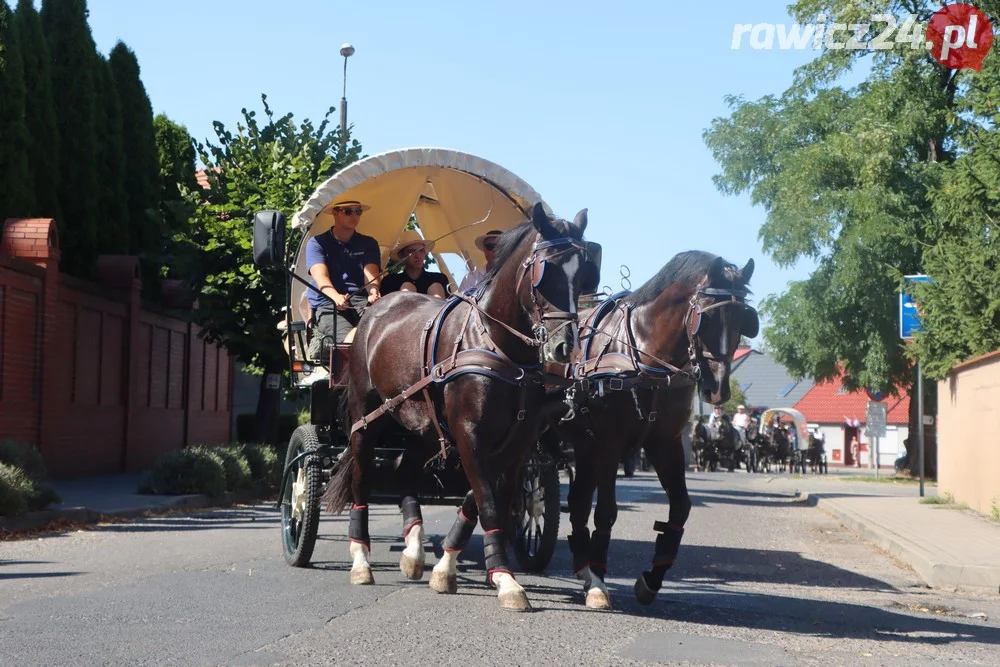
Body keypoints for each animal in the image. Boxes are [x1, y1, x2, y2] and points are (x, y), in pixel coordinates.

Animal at [324, 204, 592, 612]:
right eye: (544, 272)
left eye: (584, 271)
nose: (565, 348)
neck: (496, 344)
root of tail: (378, 305)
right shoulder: (469, 434)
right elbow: (489, 501)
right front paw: (506, 580)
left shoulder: (517, 441)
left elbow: (488, 498)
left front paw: (449, 565)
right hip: (366, 417)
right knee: (360, 477)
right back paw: (360, 559)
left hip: (422, 426)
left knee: (405, 472)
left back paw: (413, 550)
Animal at [544, 252, 752, 612]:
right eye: (707, 319)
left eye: (743, 320)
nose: (717, 390)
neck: (642, 356)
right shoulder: (609, 445)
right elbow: (607, 512)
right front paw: (599, 582)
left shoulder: (664, 444)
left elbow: (681, 507)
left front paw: (652, 578)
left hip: (584, 447)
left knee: (578, 502)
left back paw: (582, 566)